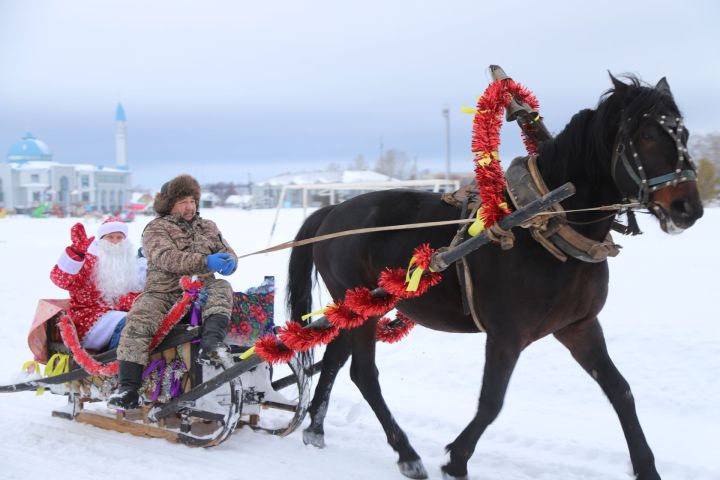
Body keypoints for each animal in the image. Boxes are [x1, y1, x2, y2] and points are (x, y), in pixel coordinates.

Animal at [286, 76, 704, 480]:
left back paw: (315, 429)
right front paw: (457, 459)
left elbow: (621, 391)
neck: (544, 223)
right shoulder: (507, 334)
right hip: (362, 303)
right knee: (364, 374)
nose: (689, 208)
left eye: (683, 132)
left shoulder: (579, 326)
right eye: (647, 135)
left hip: (358, 306)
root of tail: (332, 211)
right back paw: (406, 454)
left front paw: (647, 466)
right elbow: (491, 401)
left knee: (336, 359)